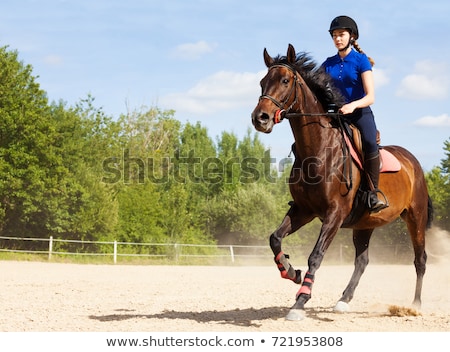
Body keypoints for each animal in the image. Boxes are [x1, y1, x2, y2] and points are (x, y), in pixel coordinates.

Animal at [250, 44, 432, 322]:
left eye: (284, 81)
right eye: (262, 82)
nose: (260, 118)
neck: (318, 149)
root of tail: (413, 162)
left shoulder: (334, 214)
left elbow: (316, 255)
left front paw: (300, 301)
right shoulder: (304, 210)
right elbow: (275, 239)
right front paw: (291, 273)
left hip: (416, 217)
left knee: (420, 259)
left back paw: (415, 305)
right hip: (365, 223)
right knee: (362, 261)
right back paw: (344, 300)